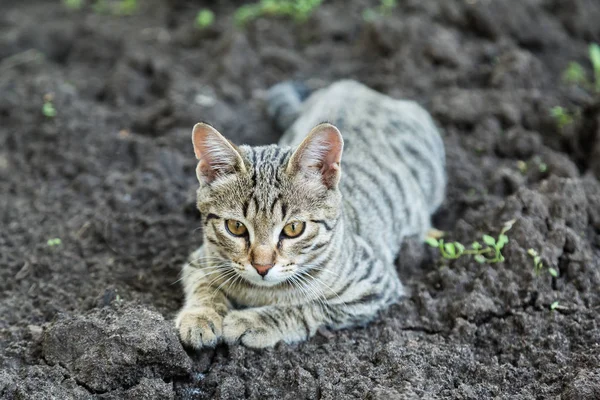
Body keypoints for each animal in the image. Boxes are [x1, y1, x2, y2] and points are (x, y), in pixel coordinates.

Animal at [175, 80, 446, 346]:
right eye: (236, 227)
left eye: (293, 229)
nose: (262, 266)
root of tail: (353, 87)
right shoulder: (200, 259)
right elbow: (204, 287)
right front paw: (200, 316)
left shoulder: (373, 287)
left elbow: (309, 307)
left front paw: (253, 321)